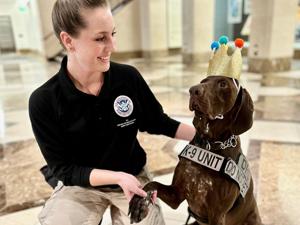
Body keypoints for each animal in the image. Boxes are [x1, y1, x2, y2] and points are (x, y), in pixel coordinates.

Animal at [129, 76, 262, 225]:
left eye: (223, 84)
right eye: (203, 80)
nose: (193, 90)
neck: (209, 145)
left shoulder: (217, 215)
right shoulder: (176, 195)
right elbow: (151, 184)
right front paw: (139, 203)